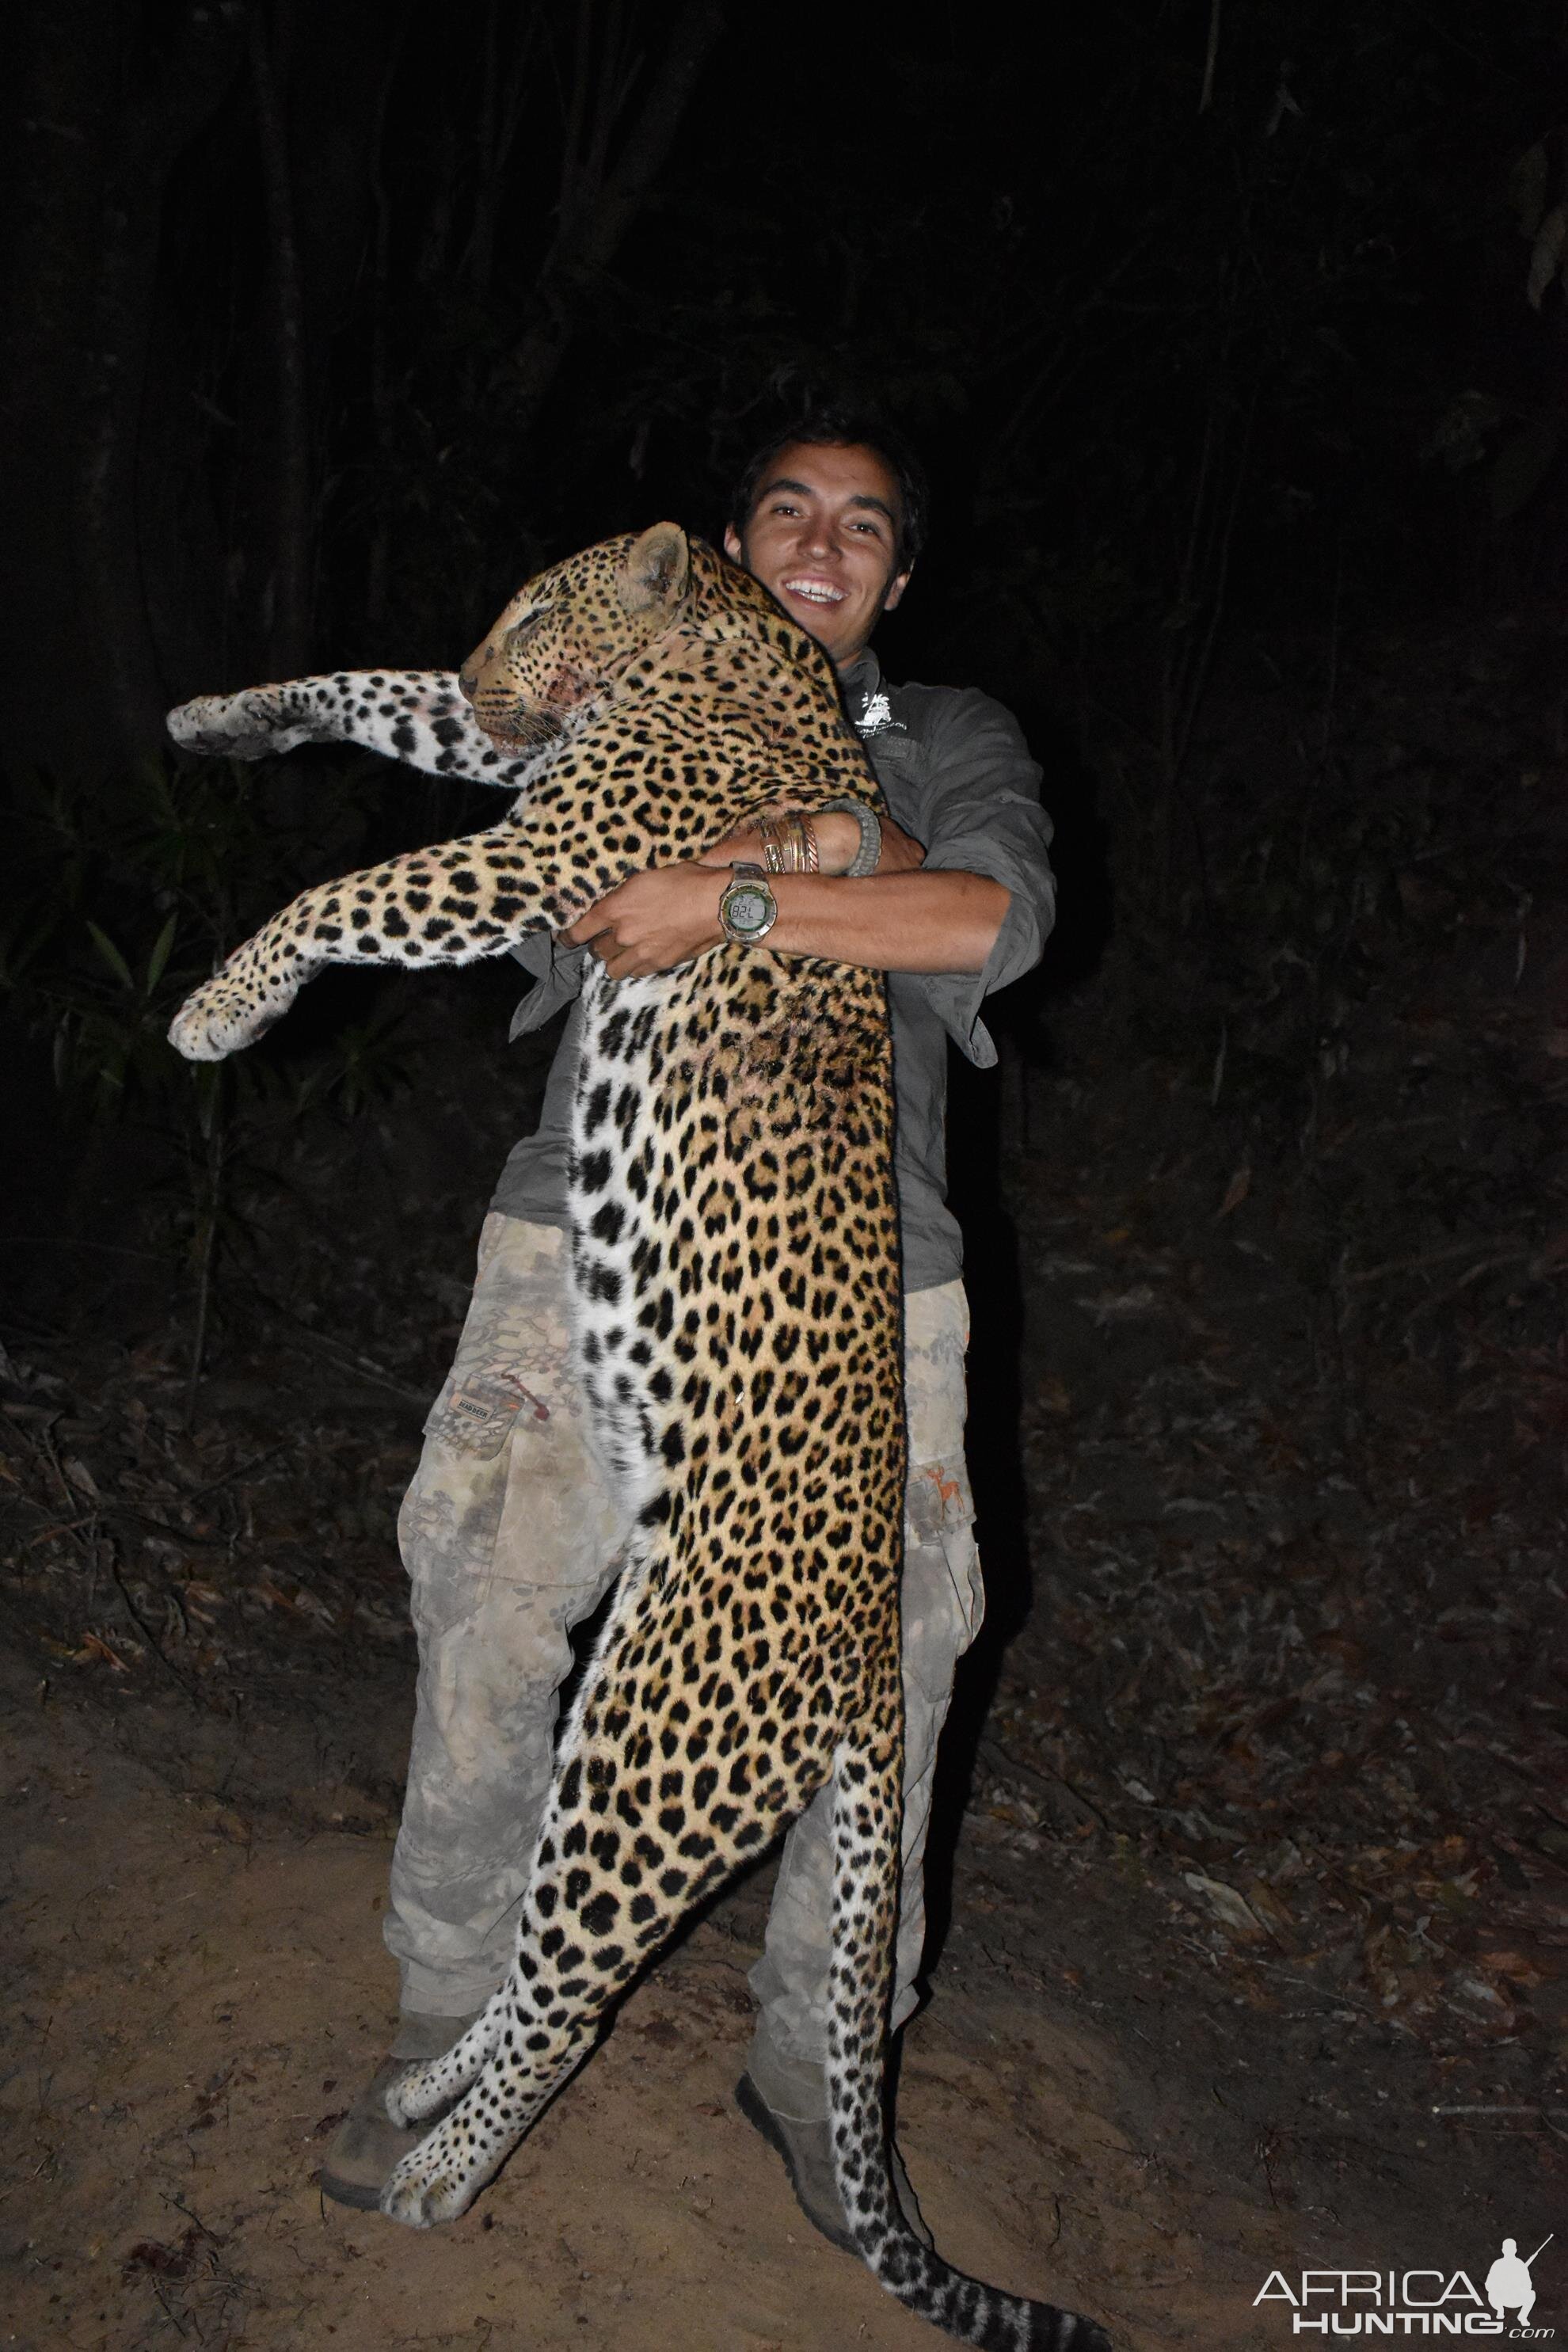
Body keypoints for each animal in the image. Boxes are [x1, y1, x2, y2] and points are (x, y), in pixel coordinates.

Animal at [166, 519, 1109, 2352]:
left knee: (576, 1999)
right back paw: (423, 2097)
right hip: (609, 1722)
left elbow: (345, 893)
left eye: (541, 603)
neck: (734, 641)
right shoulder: (522, 771)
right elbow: (374, 690)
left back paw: (440, 2176)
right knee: (550, 1952)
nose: (494, 671)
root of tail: (868, 1667)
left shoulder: (546, 849)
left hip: (648, 1761)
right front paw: (224, 717)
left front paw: (220, 1009)